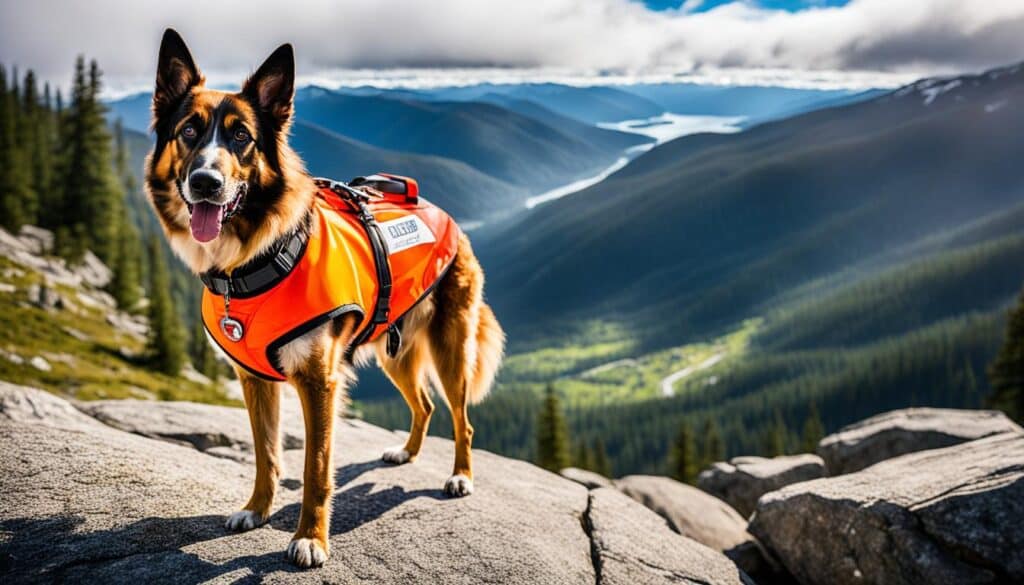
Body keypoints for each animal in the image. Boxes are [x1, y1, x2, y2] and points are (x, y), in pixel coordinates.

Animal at [146, 28, 505, 569]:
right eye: (188, 131)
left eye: (241, 137)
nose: (205, 183)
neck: (253, 260)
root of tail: (448, 218)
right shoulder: (254, 379)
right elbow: (266, 454)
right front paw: (256, 509)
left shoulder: (320, 381)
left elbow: (316, 467)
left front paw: (310, 539)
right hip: (395, 351)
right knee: (423, 404)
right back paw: (407, 452)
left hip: (449, 349)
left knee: (462, 420)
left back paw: (460, 475)